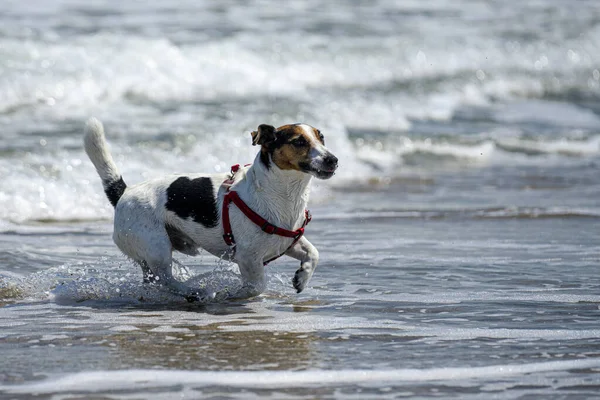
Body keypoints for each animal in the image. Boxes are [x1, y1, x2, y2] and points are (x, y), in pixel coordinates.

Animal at [84, 118, 338, 300]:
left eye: (321, 138)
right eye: (299, 142)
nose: (333, 160)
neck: (284, 194)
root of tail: (124, 193)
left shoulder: (287, 241)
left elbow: (313, 253)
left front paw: (302, 277)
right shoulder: (248, 257)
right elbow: (256, 286)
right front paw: (232, 293)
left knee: (154, 281)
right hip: (156, 246)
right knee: (165, 279)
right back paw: (194, 291)